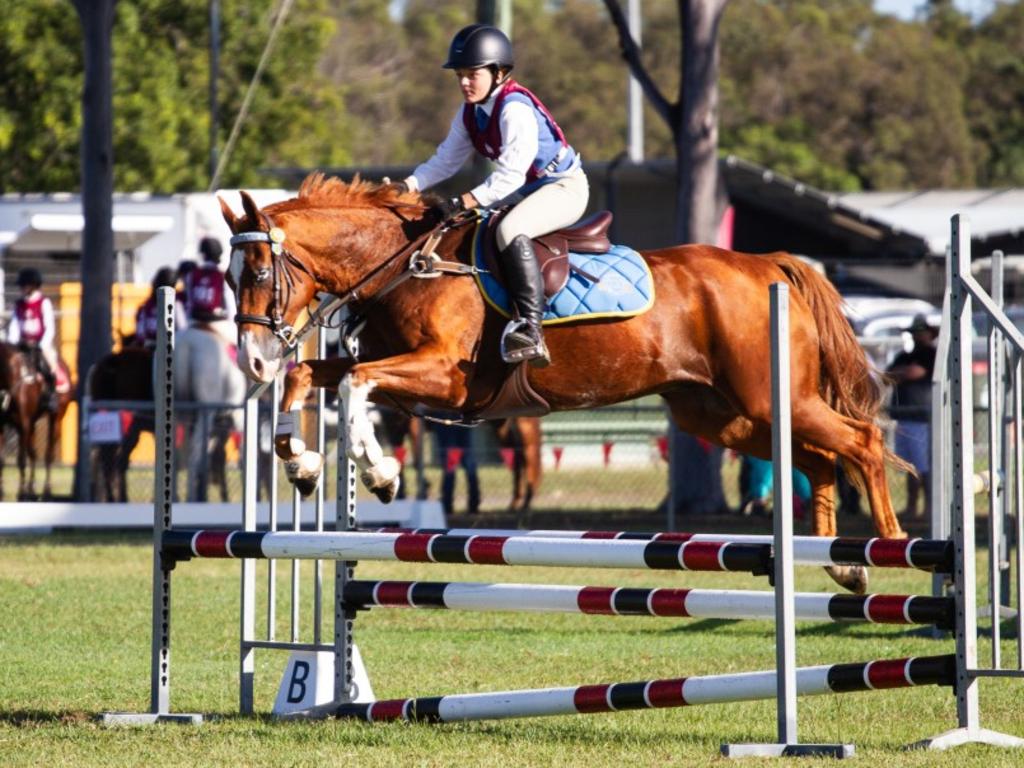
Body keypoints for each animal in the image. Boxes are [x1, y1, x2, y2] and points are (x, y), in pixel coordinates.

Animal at [0, 342, 74, 499]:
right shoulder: (3, 424)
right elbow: (2, 460)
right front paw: (3, 491)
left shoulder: (24, 424)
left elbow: (22, 460)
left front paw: (21, 492)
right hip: (32, 424)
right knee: (33, 453)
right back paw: (32, 488)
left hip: (55, 418)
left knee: (48, 455)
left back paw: (46, 490)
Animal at [220, 176, 909, 593]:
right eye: (228, 276)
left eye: (258, 272)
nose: (252, 361)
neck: (406, 264)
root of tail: (768, 264)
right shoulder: (412, 377)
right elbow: (313, 375)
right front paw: (303, 462)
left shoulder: (442, 374)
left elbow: (354, 385)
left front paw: (380, 472)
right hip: (723, 416)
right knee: (818, 457)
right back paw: (841, 564)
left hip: (773, 399)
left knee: (862, 441)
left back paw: (891, 546)